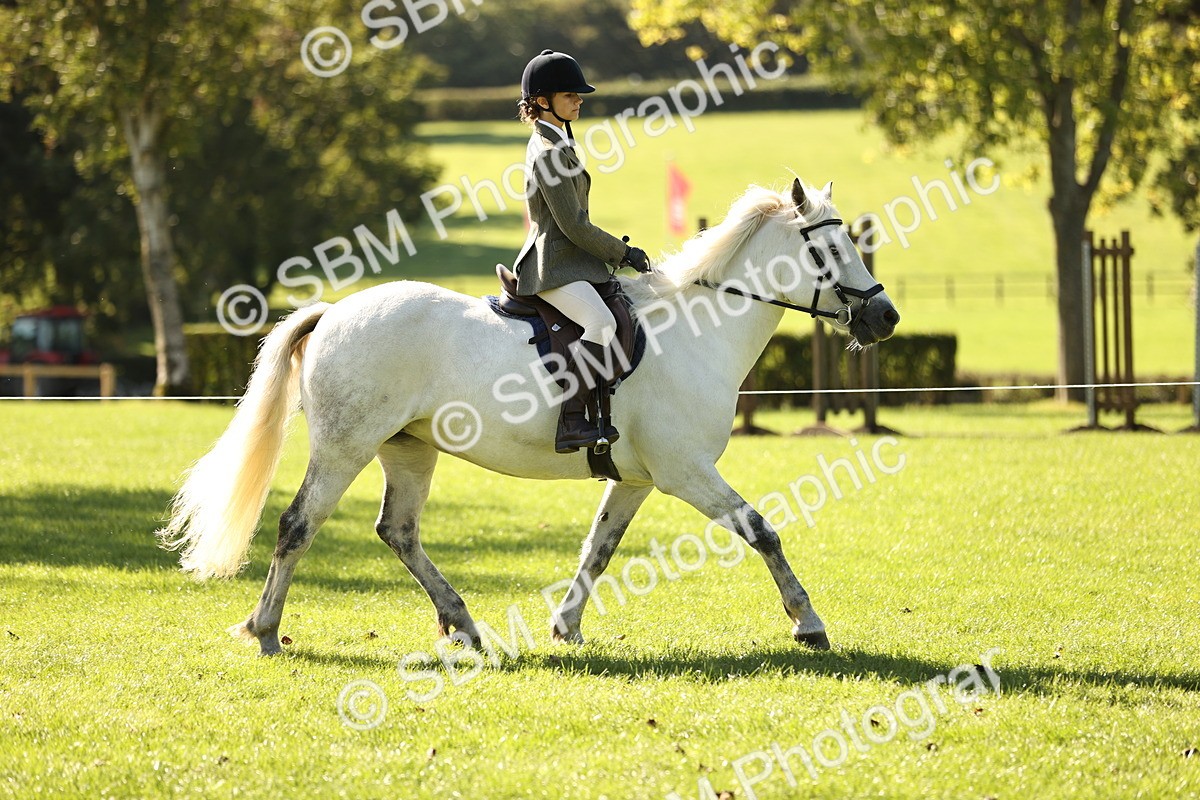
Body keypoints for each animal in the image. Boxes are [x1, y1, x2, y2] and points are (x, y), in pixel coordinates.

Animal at [158, 178, 900, 656]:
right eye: (830, 252)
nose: (885, 318)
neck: (698, 328)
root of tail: (334, 311)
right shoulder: (686, 472)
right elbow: (762, 531)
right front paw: (808, 624)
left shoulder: (636, 479)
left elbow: (598, 549)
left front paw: (566, 628)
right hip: (346, 448)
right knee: (297, 525)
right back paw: (266, 631)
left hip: (408, 449)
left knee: (398, 531)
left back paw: (463, 626)